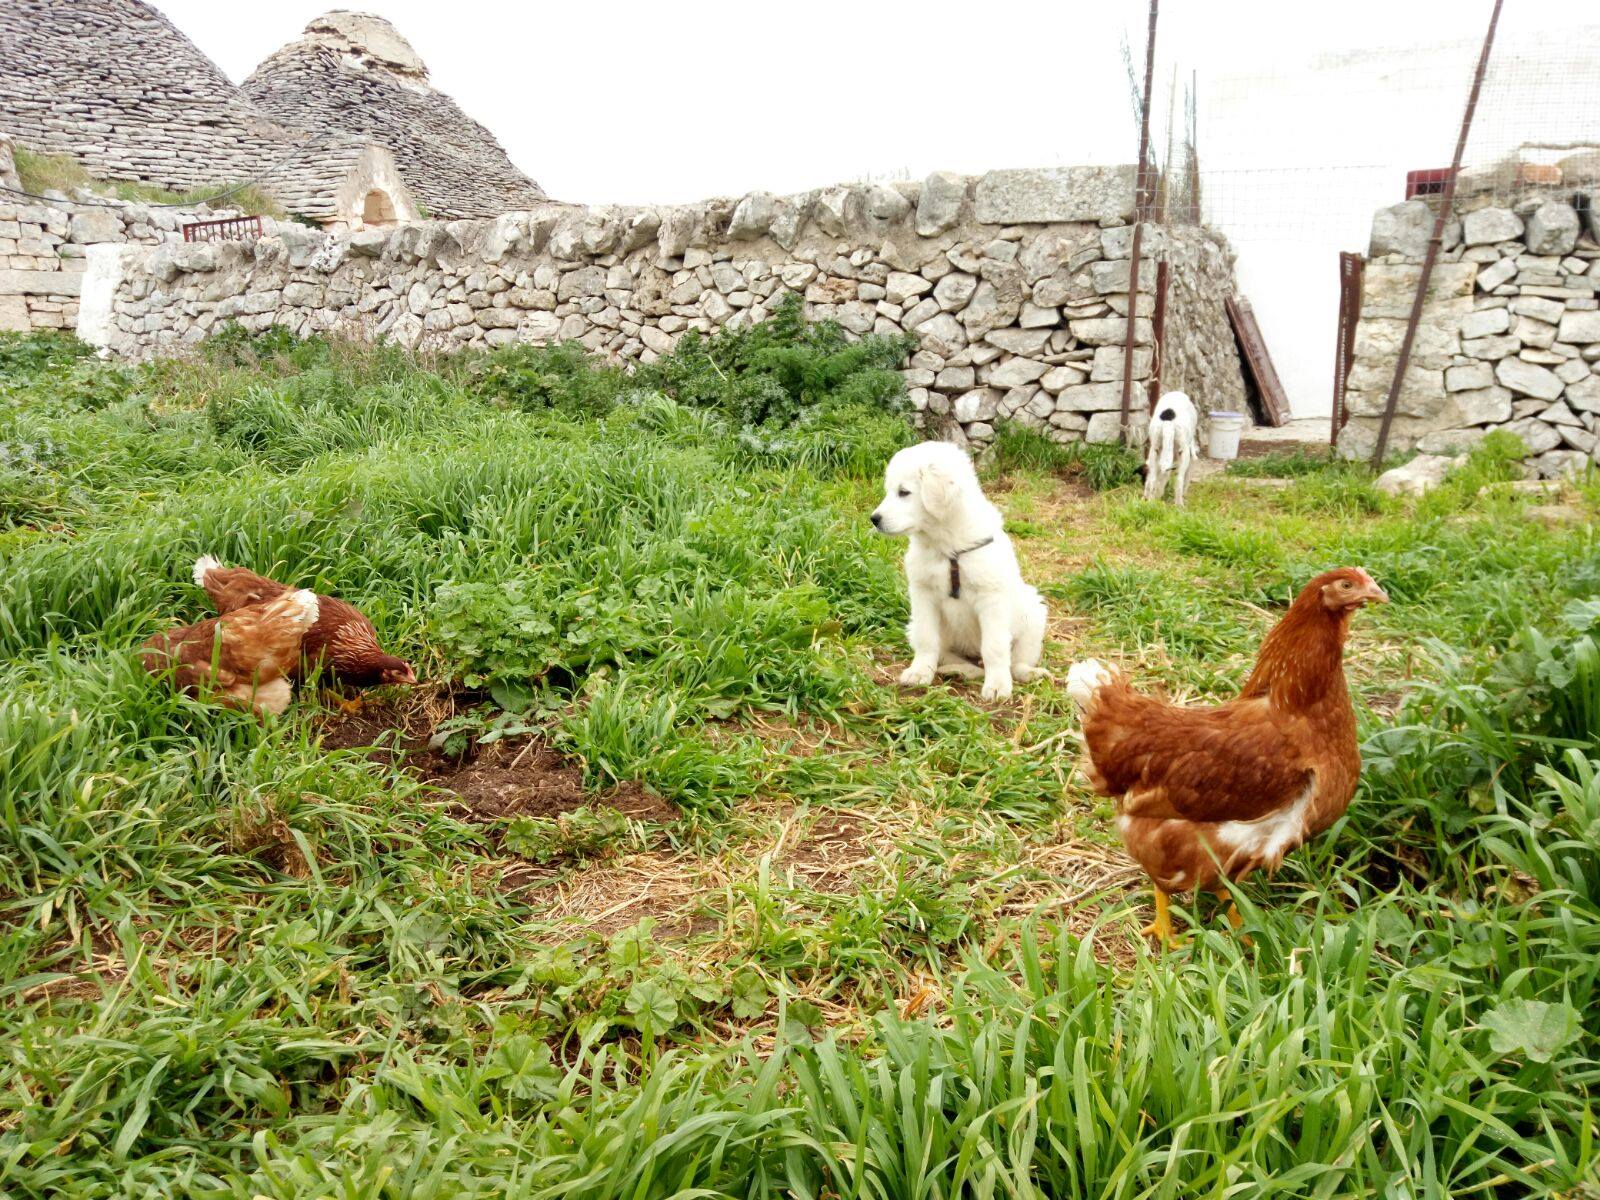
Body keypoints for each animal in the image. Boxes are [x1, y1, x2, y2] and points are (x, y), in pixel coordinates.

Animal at [876, 441, 1049, 704]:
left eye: (903, 492)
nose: (874, 519)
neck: (947, 547)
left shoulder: (991, 598)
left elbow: (994, 647)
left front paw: (997, 686)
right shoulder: (922, 594)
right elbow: (928, 640)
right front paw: (919, 672)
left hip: (1033, 614)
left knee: (1015, 661)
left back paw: (1027, 673)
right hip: (916, 628)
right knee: (949, 655)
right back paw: (958, 670)